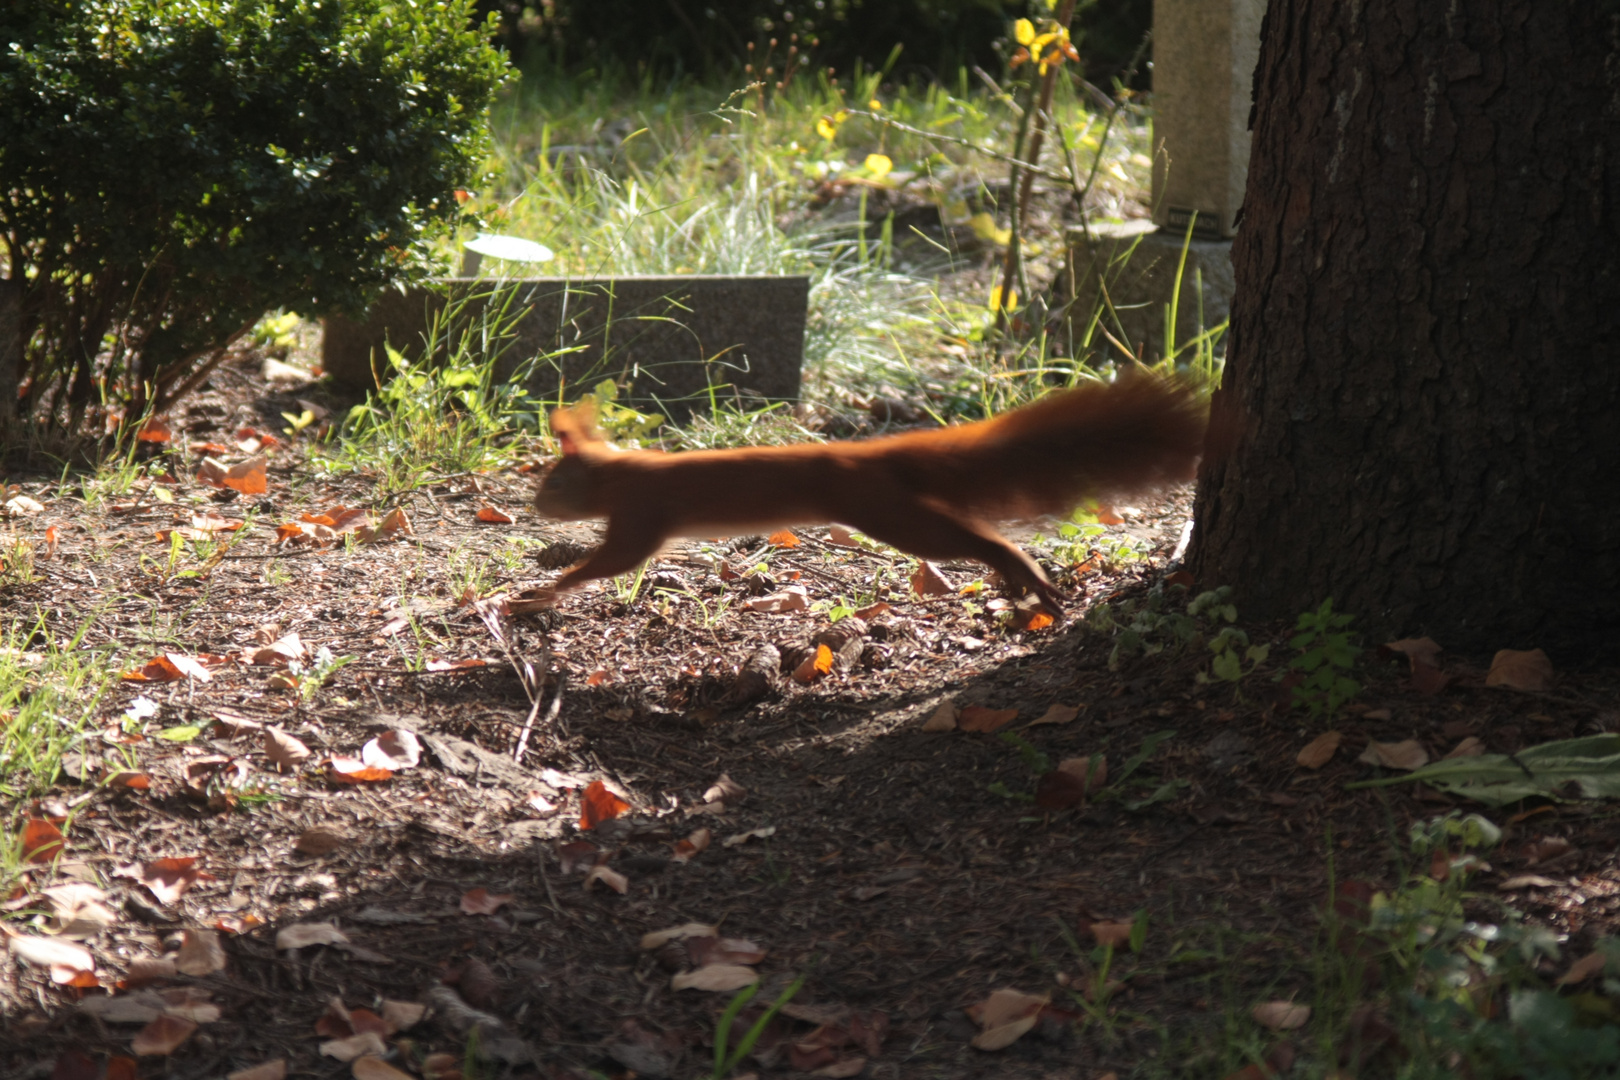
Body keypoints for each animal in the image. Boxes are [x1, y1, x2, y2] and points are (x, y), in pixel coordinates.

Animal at [531, 374, 1205, 612]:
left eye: (555, 481)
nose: (537, 505)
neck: (624, 472)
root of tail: (871, 454)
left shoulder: (642, 513)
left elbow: (615, 562)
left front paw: (542, 593)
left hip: (885, 512)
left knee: (976, 539)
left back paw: (1021, 570)